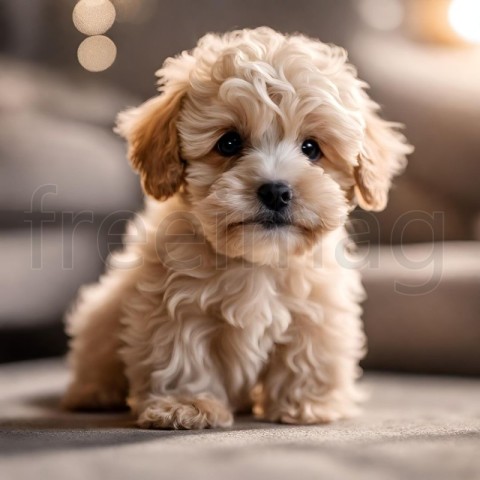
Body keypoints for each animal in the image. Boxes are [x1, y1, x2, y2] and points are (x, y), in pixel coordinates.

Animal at [62, 28, 410, 430]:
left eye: (311, 148)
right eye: (228, 142)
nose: (276, 191)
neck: (256, 260)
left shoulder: (319, 305)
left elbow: (308, 352)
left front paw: (308, 404)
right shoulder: (173, 304)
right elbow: (181, 354)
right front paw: (185, 404)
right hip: (101, 314)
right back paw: (93, 393)